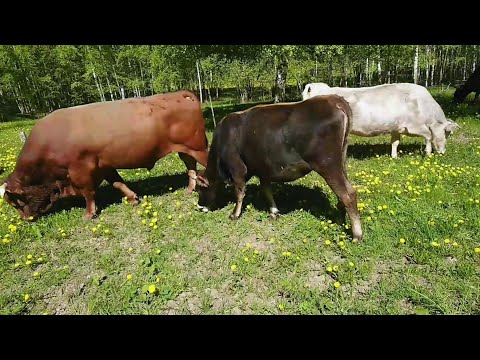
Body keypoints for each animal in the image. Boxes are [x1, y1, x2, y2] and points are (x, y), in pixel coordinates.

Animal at [0, 90, 209, 219]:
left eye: (16, 202)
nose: (26, 219)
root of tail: (180, 94)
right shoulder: (105, 165)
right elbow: (118, 183)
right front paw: (133, 198)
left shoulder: (80, 170)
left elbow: (88, 192)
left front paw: (89, 213)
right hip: (185, 150)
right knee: (190, 167)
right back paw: (190, 189)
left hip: (199, 148)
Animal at [193, 95, 362, 242]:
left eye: (201, 188)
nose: (200, 206)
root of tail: (333, 99)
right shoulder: (263, 169)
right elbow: (266, 190)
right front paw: (274, 212)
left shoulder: (238, 169)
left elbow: (239, 192)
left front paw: (234, 214)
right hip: (341, 161)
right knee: (345, 193)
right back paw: (340, 220)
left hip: (327, 164)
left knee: (347, 195)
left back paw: (356, 235)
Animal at [302, 84, 460, 159]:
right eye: (447, 133)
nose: (443, 152)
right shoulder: (414, 126)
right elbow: (428, 136)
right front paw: (428, 153)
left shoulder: (397, 128)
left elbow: (395, 142)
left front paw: (394, 156)